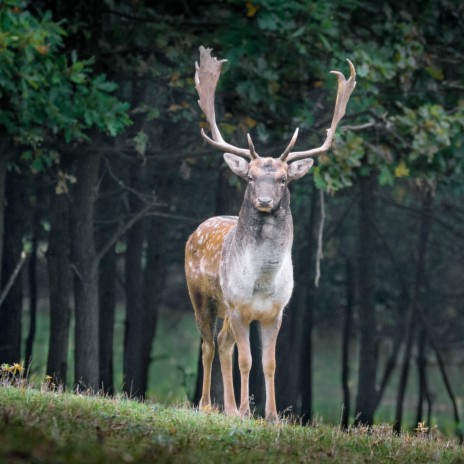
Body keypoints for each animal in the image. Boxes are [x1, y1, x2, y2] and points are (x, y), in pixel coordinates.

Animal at [185, 46, 356, 420]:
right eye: (250, 177)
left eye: (283, 179)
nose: (264, 201)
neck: (262, 282)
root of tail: (197, 230)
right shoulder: (238, 306)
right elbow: (246, 361)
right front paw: (247, 412)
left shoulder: (276, 312)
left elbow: (270, 363)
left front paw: (272, 415)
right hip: (201, 295)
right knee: (207, 344)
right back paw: (208, 405)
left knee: (222, 344)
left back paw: (228, 408)